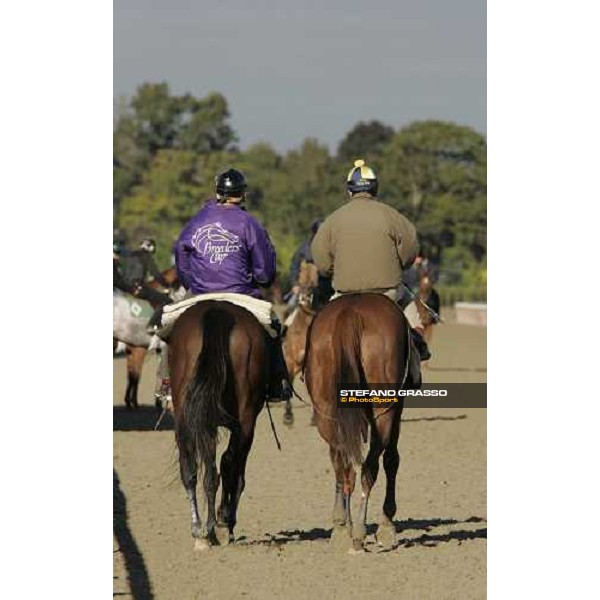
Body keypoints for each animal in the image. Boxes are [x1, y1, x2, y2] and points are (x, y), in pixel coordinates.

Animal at [168, 300, 268, 548]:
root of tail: (218, 310)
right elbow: (233, 468)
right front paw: (226, 519)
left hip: (191, 419)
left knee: (194, 470)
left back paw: (202, 529)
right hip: (243, 419)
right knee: (226, 465)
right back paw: (217, 524)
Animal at [304, 292, 418, 552]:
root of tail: (350, 314)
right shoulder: (397, 408)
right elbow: (392, 460)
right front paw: (387, 523)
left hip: (326, 411)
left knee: (343, 466)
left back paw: (342, 528)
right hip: (384, 409)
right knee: (371, 465)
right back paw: (359, 531)